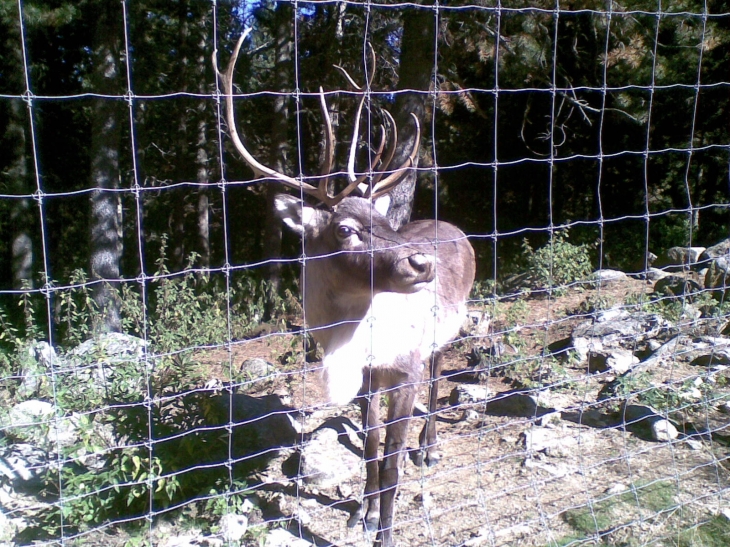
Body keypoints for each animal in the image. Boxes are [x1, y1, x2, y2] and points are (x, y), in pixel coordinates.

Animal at [213, 32, 474, 544]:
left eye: (382, 219)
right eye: (345, 229)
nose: (423, 262)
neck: (355, 339)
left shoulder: (405, 368)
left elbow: (392, 459)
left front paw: (386, 530)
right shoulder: (367, 380)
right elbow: (371, 447)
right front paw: (362, 514)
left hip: (443, 334)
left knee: (439, 377)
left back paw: (429, 447)